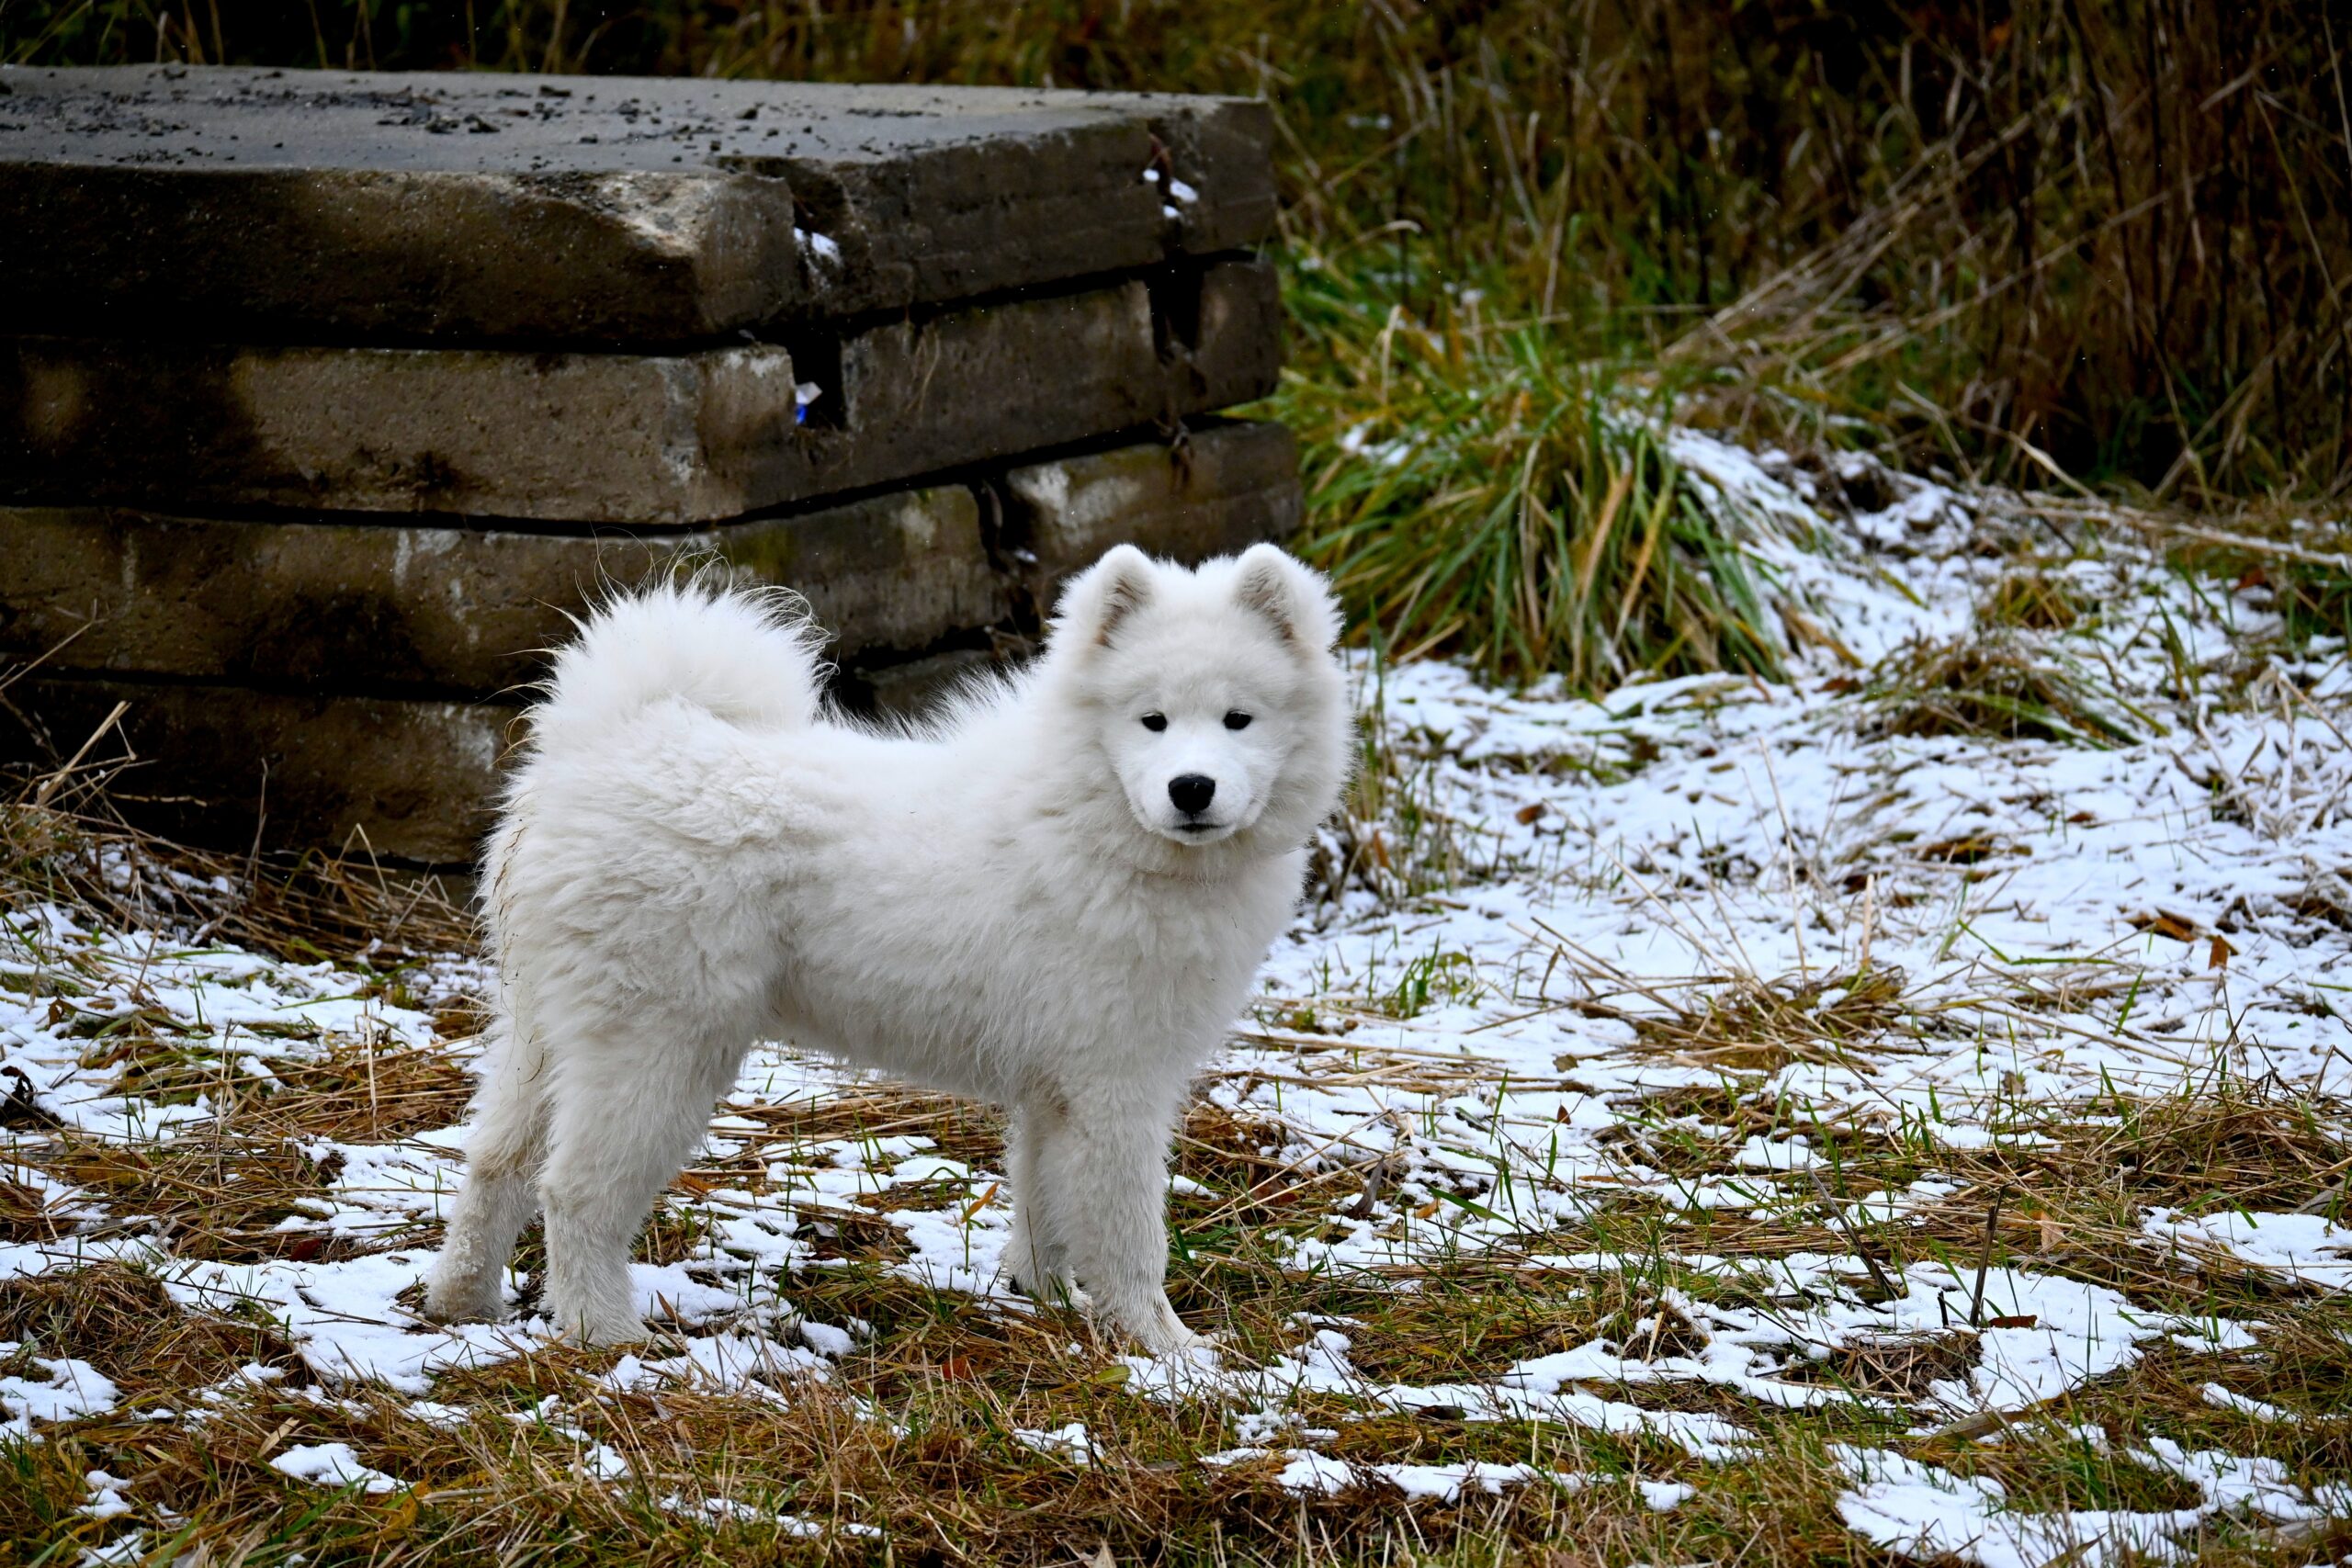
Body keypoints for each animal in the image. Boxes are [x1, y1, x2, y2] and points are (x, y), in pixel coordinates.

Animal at [423, 540, 1345, 1354]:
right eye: (1151, 720)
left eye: (1238, 719)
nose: (1192, 788)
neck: (1094, 817)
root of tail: (607, 740)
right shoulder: (1117, 1085)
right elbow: (1129, 1235)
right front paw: (1170, 1352)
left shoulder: (1055, 1088)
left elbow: (1041, 1204)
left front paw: (1042, 1299)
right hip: (660, 1045)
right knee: (575, 1189)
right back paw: (604, 1334)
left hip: (545, 1026)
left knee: (496, 1162)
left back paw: (462, 1303)